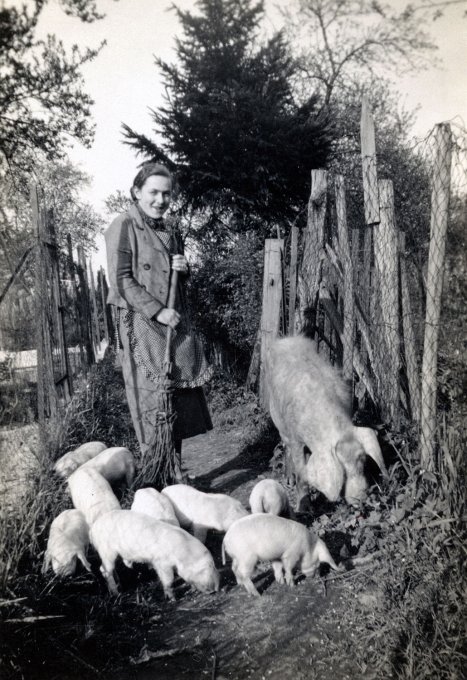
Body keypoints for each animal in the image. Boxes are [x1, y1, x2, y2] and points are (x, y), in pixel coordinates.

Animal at [89, 510, 221, 600]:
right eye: (204, 568)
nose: (215, 590)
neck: (183, 551)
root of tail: (92, 530)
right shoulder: (162, 563)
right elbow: (168, 579)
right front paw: (173, 599)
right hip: (106, 550)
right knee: (104, 569)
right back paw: (117, 593)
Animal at [266, 338, 388, 508]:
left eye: (363, 462)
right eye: (343, 472)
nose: (361, 499)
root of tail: (286, 340)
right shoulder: (296, 438)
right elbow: (301, 473)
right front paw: (304, 508)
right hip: (278, 419)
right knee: (285, 446)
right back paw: (289, 480)